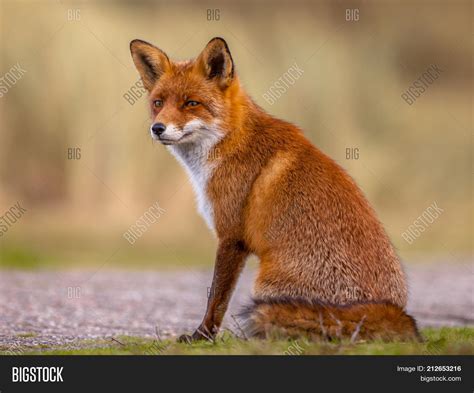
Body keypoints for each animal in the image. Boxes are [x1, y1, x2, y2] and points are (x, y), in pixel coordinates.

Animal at [129, 37, 418, 344]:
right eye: (158, 103)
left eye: (191, 103)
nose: (157, 128)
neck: (230, 141)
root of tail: (389, 310)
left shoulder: (231, 237)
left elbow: (216, 298)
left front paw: (202, 336)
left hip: (264, 285)